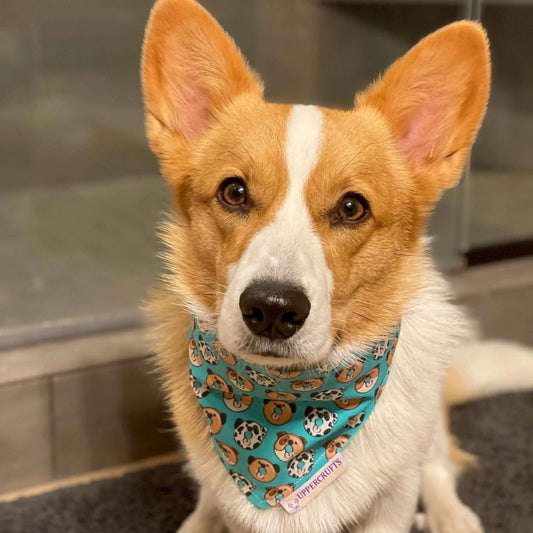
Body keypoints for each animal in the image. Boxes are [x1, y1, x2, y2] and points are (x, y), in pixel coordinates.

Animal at [140, 1, 532, 532]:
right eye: (234, 192)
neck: (290, 404)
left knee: (438, 464)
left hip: (424, 424)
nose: (272, 309)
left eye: (352, 208)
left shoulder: (392, 498)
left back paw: (453, 517)